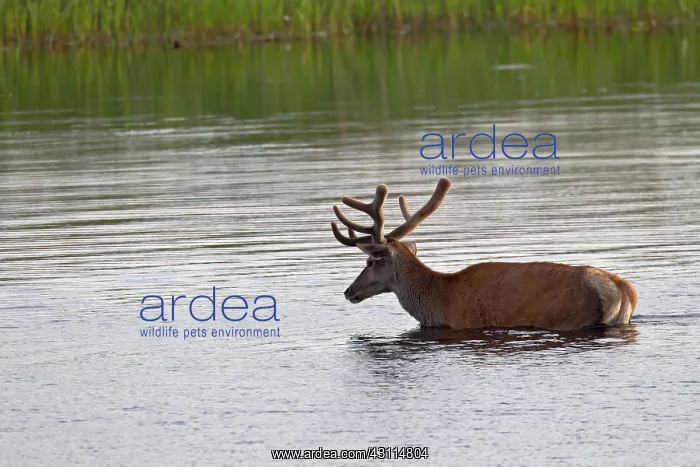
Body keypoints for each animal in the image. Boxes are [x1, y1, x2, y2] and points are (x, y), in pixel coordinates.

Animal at [330, 177, 638, 331]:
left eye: (370, 261)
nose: (348, 291)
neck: (437, 300)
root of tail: (623, 289)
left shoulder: (461, 322)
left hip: (572, 316)